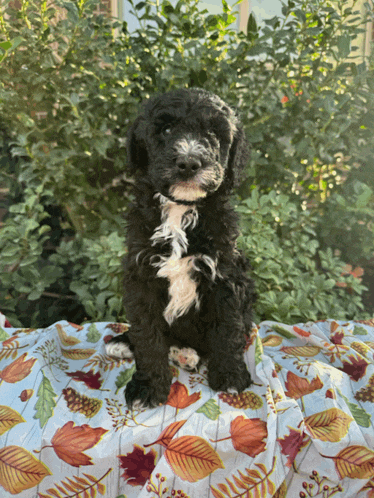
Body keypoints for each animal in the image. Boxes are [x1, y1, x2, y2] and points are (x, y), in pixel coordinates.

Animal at [106, 88, 256, 408]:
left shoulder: (225, 275)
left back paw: (187, 354)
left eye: (213, 133)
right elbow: (147, 335)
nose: (188, 163)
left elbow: (228, 327)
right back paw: (128, 343)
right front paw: (148, 386)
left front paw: (230, 376)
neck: (179, 210)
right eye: (164, 130)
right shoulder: (141, 274)